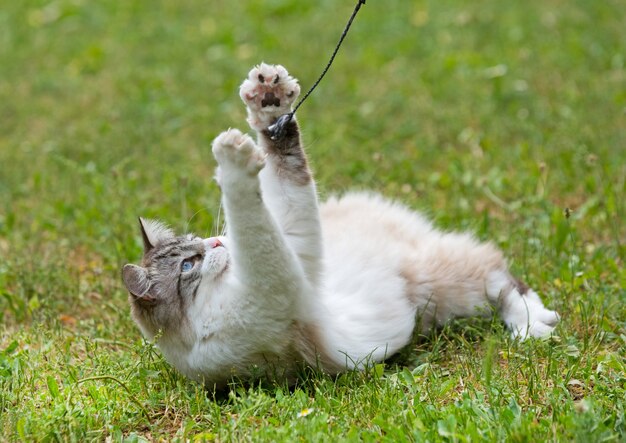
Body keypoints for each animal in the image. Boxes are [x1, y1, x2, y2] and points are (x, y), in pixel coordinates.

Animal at [120, 62, 556, 388]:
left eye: (198, 241)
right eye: (187, 265)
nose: (217, 245)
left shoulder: (294, 244)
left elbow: (282, 166)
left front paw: (268, 102)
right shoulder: (277, 280)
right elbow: (248, 209)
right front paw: (231, 153)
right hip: (443, 286)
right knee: (500, 278)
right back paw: (535, 326)